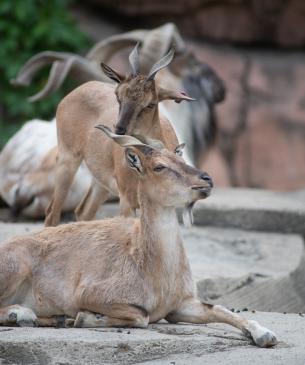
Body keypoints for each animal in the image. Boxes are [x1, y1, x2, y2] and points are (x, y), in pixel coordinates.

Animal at [0, 128, 276, 346]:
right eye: (159, 166)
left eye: (179, 156)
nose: (206, 179)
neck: (154, 267)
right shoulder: (90, 293)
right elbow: (141, 316)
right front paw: (84, 317)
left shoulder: (181, 304)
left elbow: (219, 308)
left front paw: (264, 334)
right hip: (16, 265)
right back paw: (23, 315)